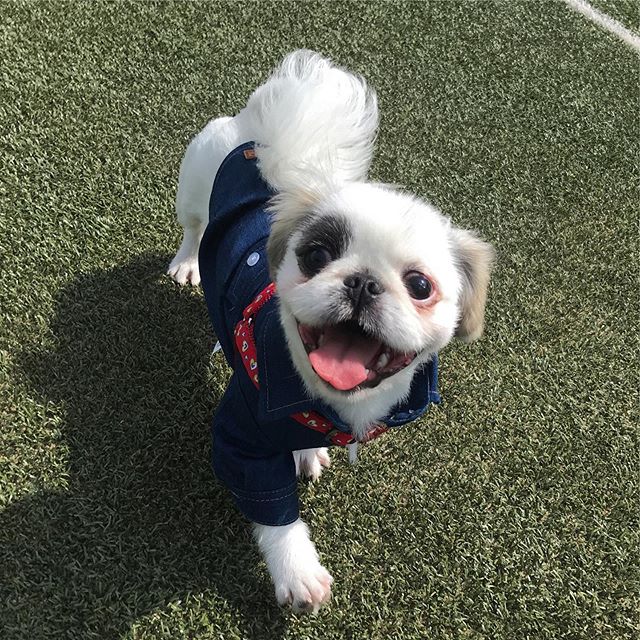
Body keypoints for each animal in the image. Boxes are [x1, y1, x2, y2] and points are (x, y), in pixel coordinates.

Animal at [168, 52, 492, 612]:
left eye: (420, 285)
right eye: (316, 255)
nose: (362, 282)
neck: (340, 404)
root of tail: (257, 135)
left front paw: (305, 450)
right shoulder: (241, 438)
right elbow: (276, 515)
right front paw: (298, 575)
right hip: (193, 183)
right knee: (192, 228)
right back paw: (187, 264)